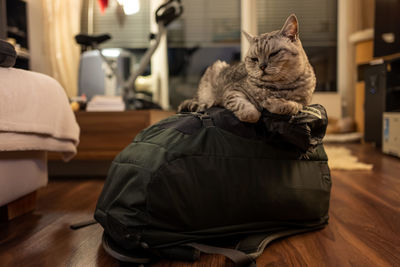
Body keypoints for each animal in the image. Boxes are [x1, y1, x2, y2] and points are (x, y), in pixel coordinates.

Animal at [178, 14, 316, 123]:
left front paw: (274, 103)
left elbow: (292, 105)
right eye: (254, 59)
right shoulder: (232, 91)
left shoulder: (304, 102)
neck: (277, 87)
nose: (262, 66)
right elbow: (249, 112)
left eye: (273, 54)